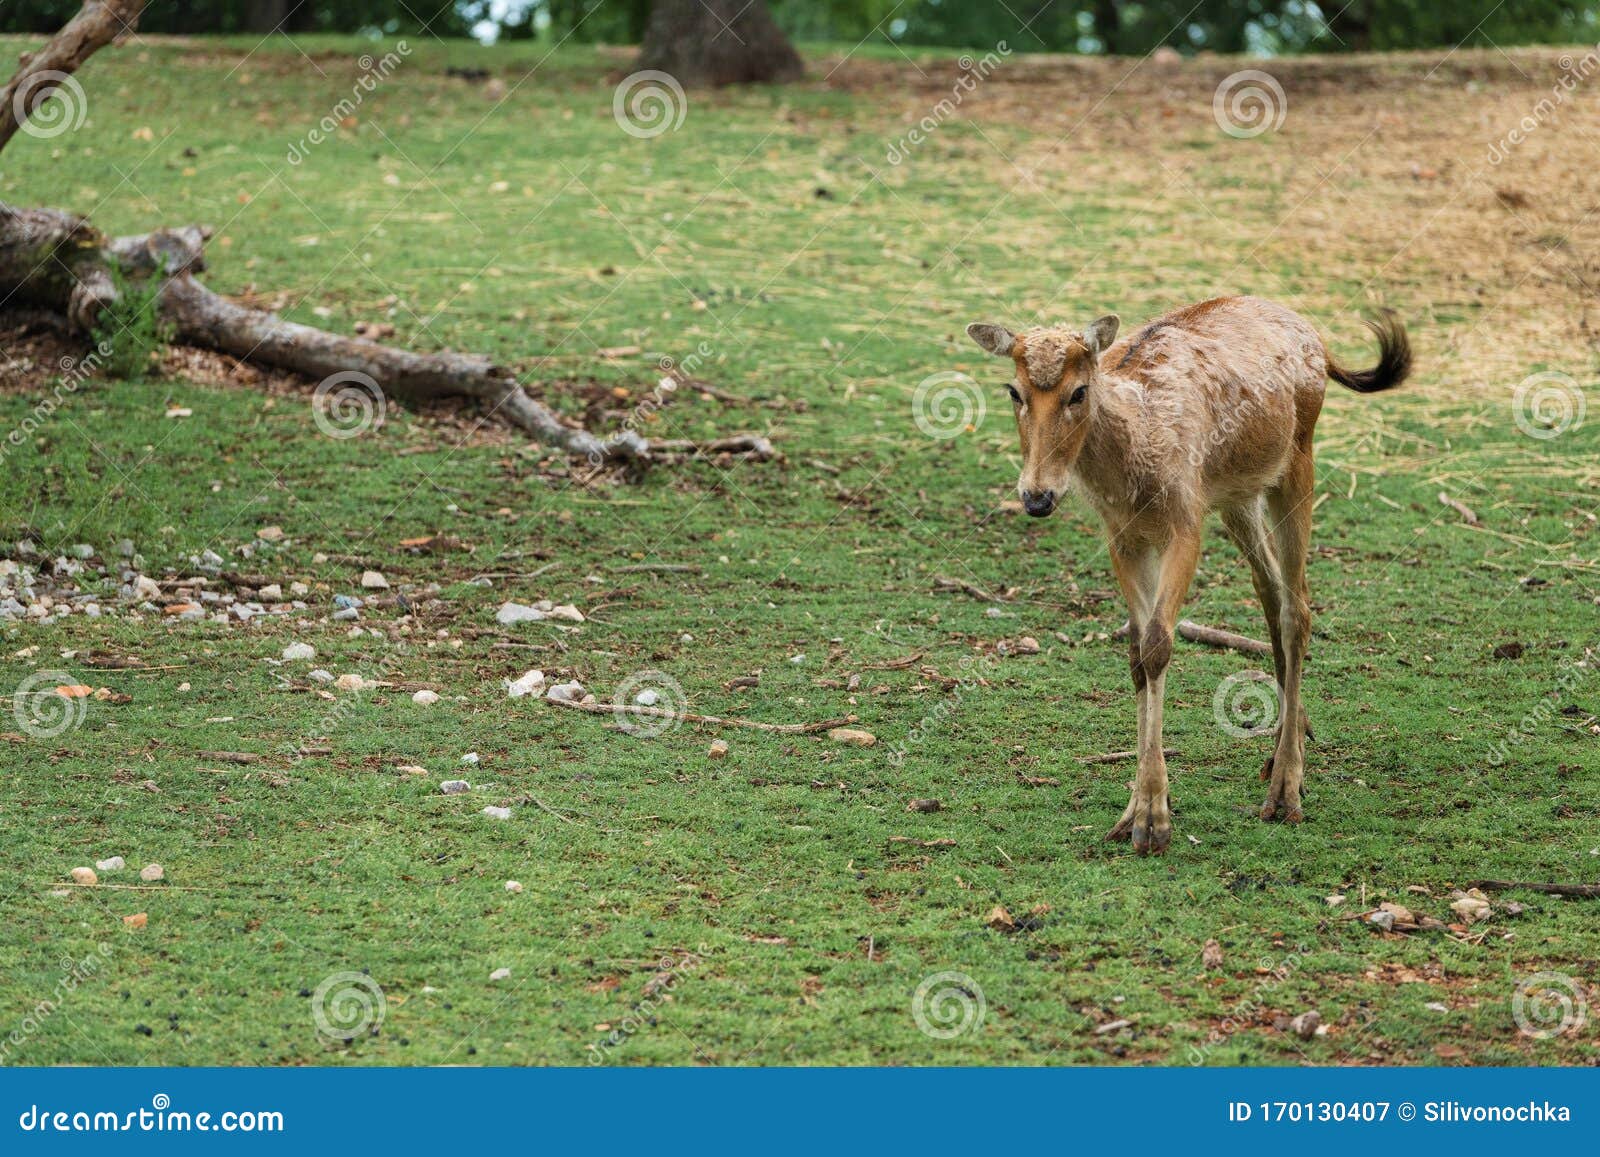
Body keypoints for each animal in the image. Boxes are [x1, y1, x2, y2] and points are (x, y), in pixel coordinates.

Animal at [965, 296, 1410, 854]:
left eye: (1079, 391)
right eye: (1014, 391)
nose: (1037, 496)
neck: (1133, 467)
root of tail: (1317, 339)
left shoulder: (1185, 521)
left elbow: (1159, 644)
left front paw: (1154, 823)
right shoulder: (1123, 535)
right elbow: (1136, 651)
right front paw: (1131, 813)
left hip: (1297, 463)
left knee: (1299, 606)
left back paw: (1286, 790)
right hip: (1237, 495)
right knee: (1269, 591)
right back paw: (1288, 747)